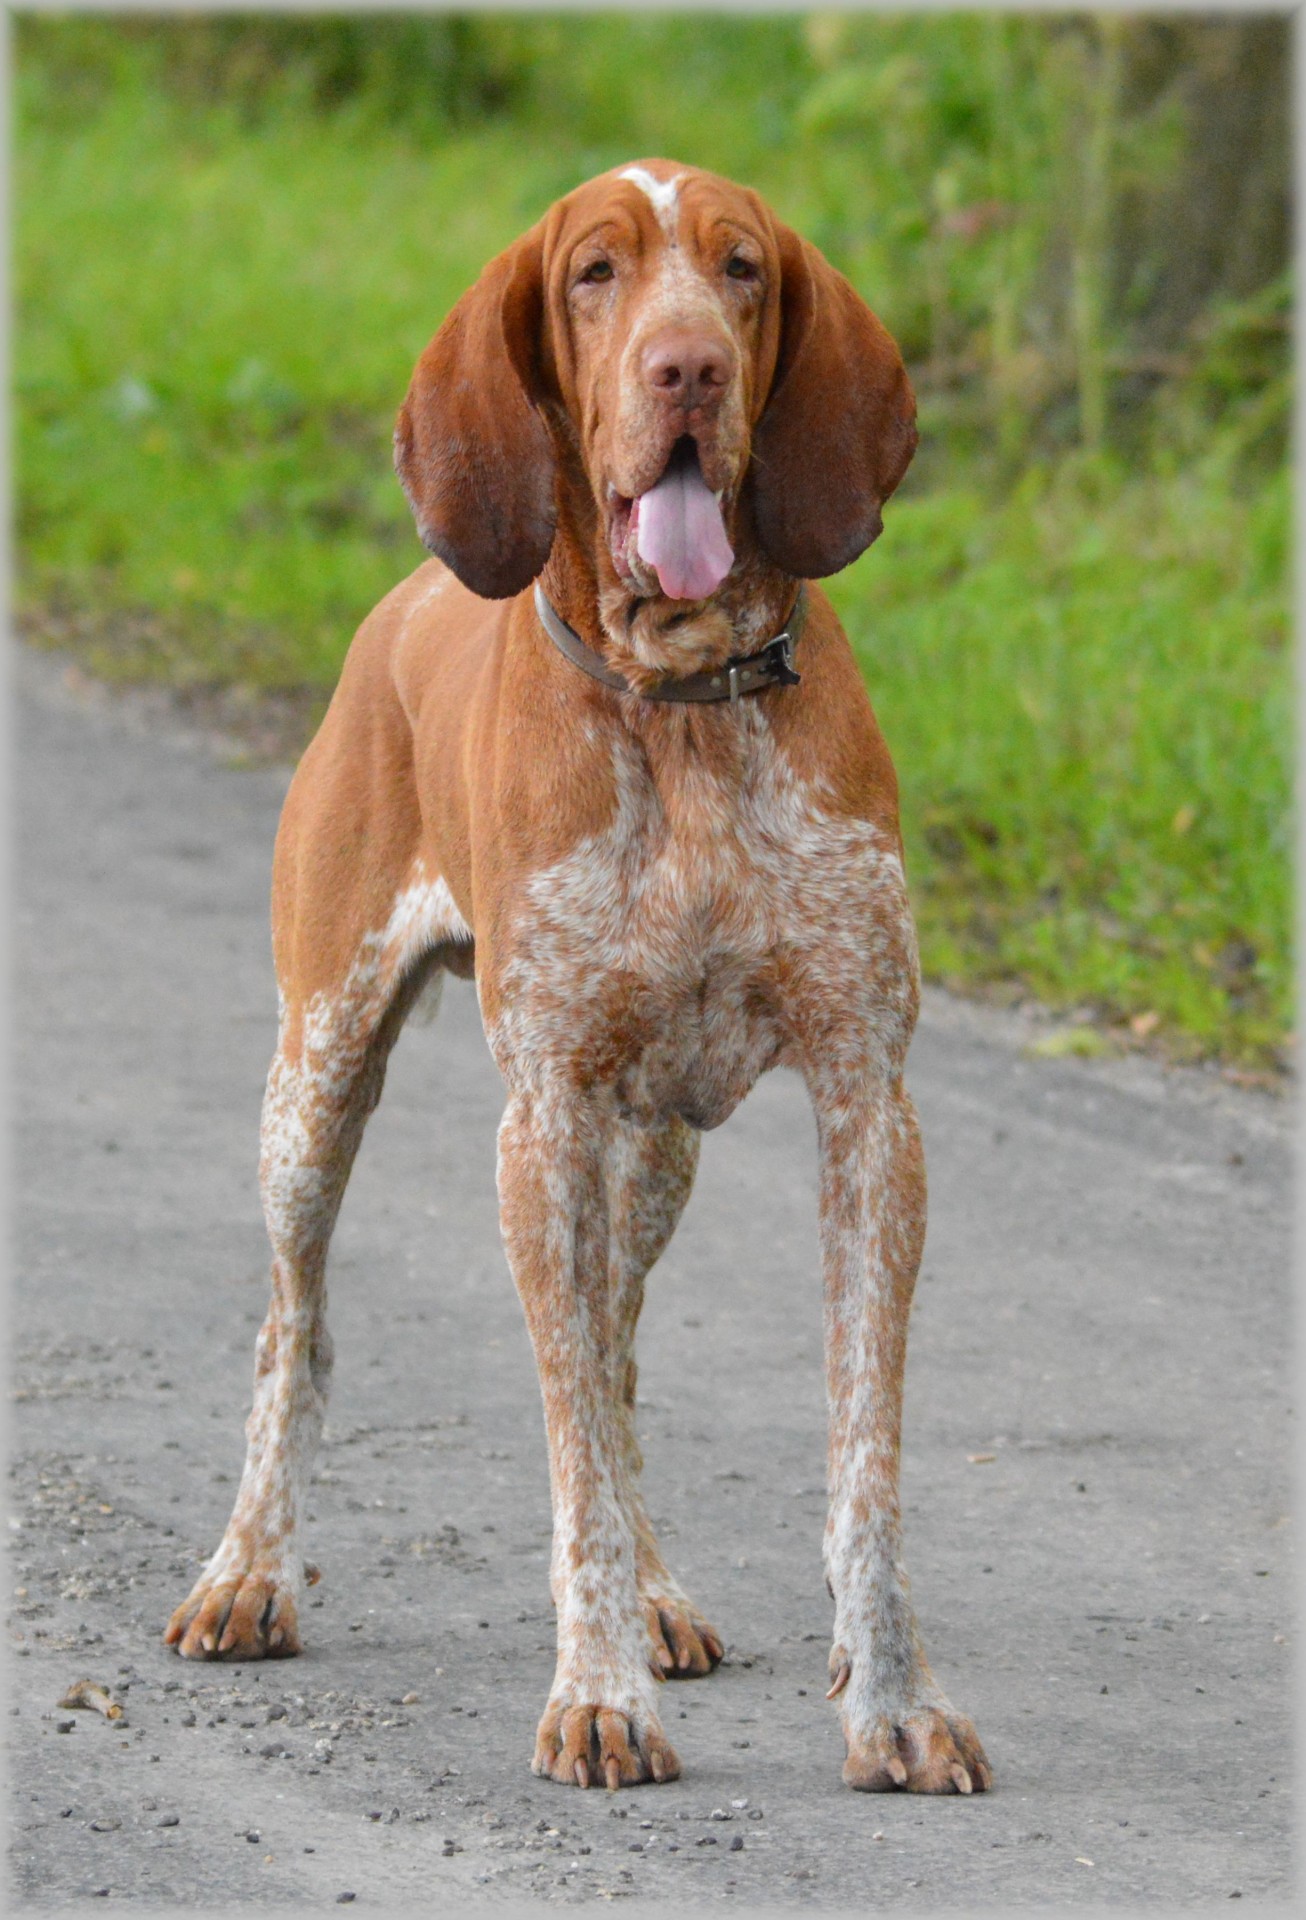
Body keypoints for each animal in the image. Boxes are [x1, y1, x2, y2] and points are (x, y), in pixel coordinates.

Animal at [168, 153, 991, 1797]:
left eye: (740, 269)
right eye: (595, 275)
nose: (688, 371)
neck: (680, 703)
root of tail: (405, 598)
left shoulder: (869, 1111)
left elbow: (856, 1456)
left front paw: (892, 1702)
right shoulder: (540, 1121)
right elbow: (567, 1465)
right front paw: (597, 1691)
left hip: (651, 1154)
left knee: (610, 1363)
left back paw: (661, 1595)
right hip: (316, 1086)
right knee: (300, 1331)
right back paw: (250, 1572)